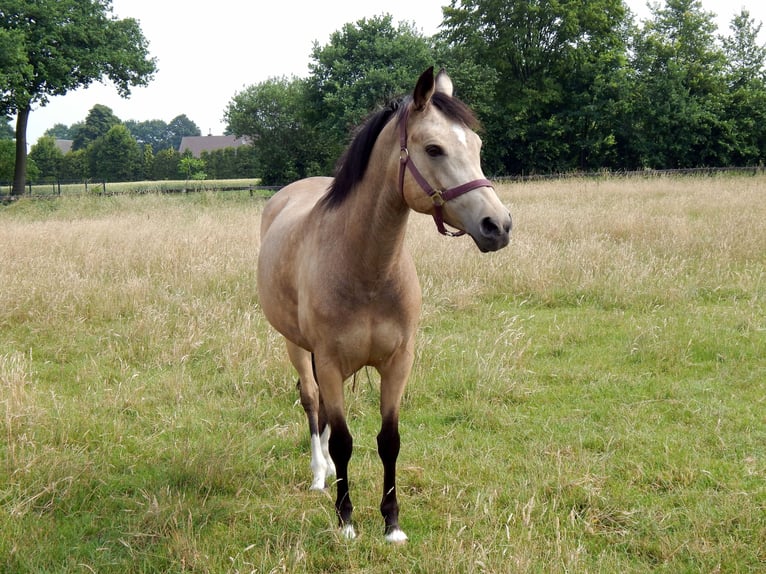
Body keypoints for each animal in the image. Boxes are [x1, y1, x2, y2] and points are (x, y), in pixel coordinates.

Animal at [260, 67, 516, 544]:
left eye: (476, 146)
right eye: (434, 149)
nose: (499, 225)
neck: (366, 268)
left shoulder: (399, 362)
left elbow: (388, 440)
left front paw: (392, 523)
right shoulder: (329, 362)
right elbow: (343, 440)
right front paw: (346, 521)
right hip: (296, 347)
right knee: (311, 402)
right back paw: (319, 474)